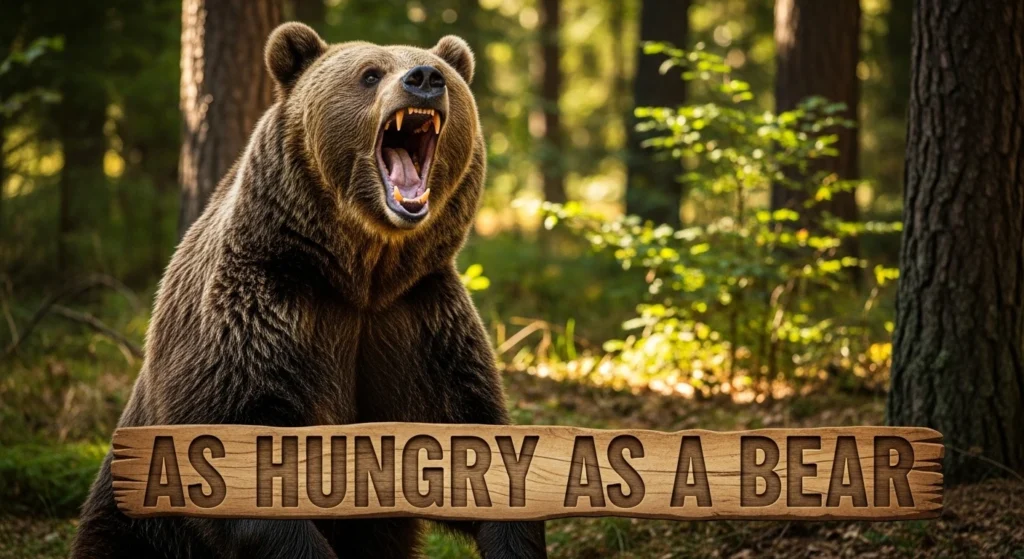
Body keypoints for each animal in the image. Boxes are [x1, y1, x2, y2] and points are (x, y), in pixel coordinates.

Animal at [70, 22, 547, 559]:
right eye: (370, 73)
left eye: (443, 73)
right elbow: (237, 468)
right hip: (133, 521)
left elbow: (476, 447)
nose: (424, 79)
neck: (362, 275)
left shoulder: (420, 323)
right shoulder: (259, 316)